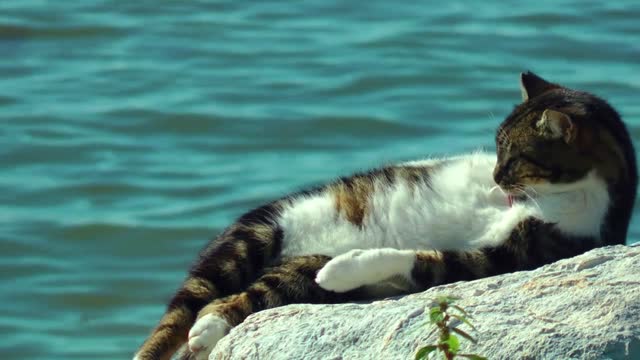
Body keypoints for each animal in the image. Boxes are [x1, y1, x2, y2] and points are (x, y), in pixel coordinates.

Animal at [132, 72, 636, 360]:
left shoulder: (509, 256)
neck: (549, 197)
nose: (495, 178)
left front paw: (345, 268)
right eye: (496, 149)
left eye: (514, 158)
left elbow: (419, 259)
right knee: (183, 311)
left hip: (295, 273)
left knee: (236, 300)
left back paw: (213, 327)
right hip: (258, 231)